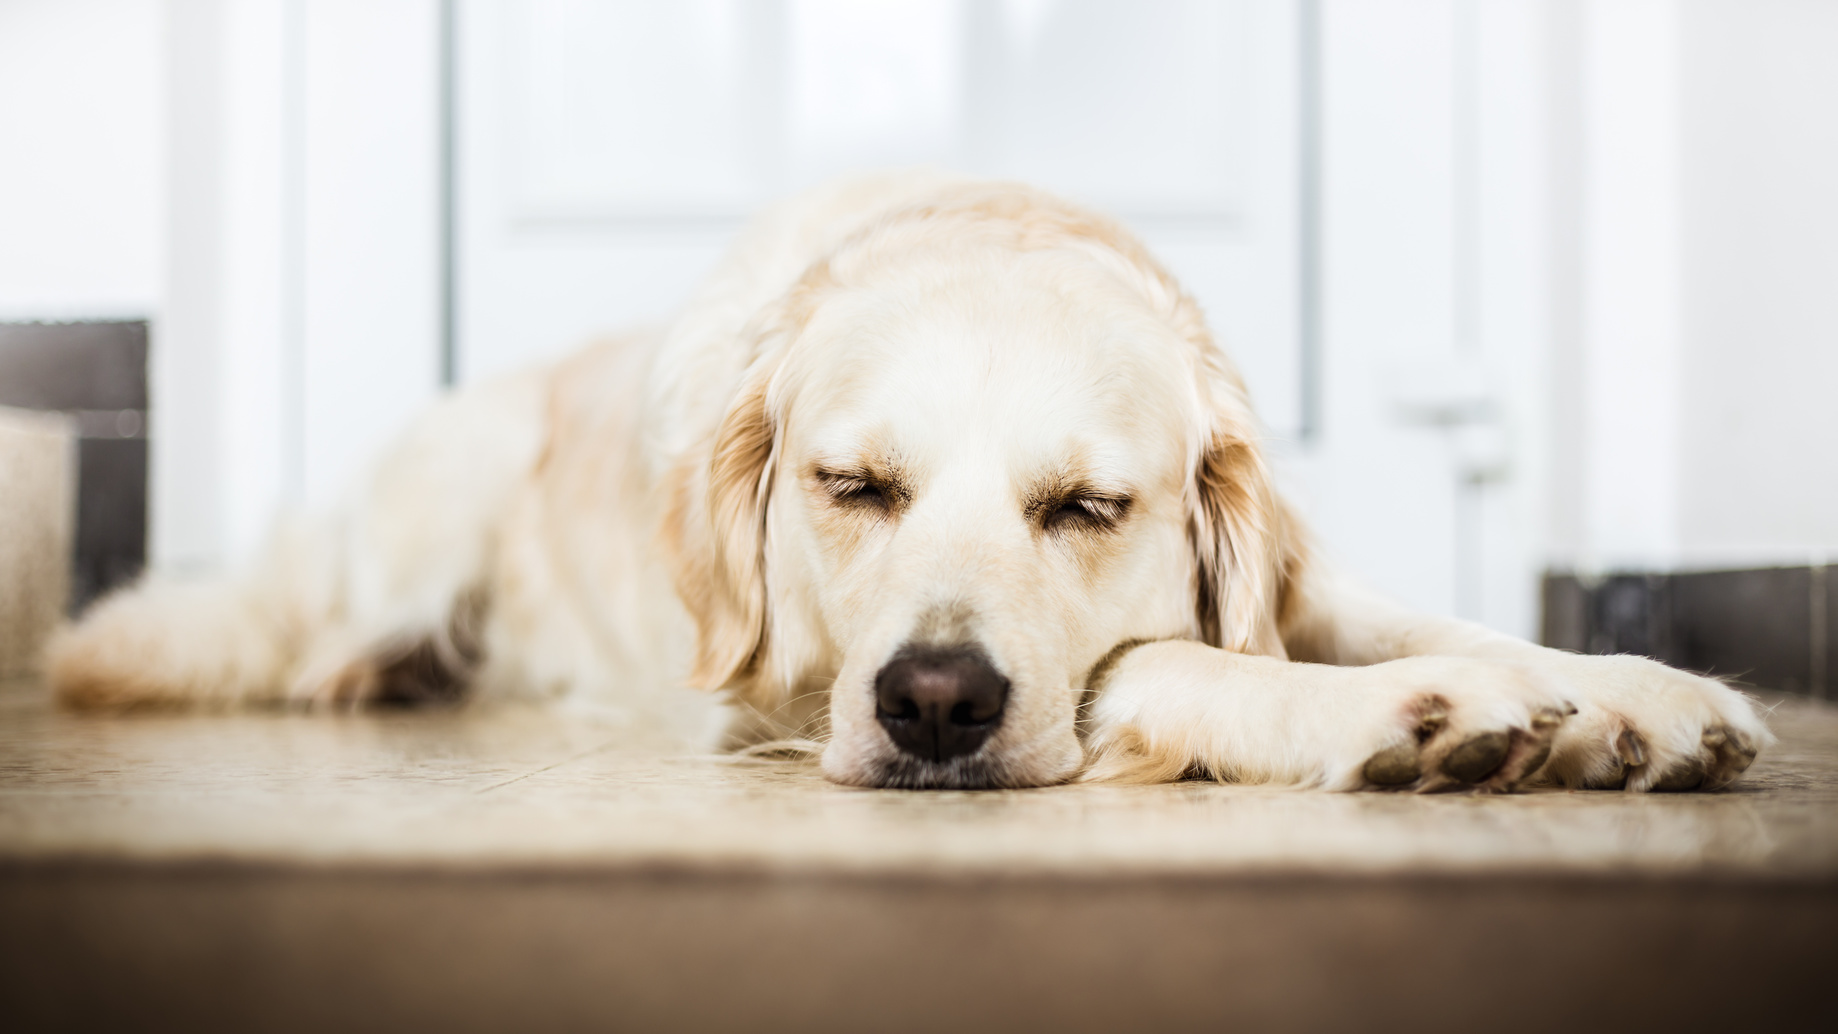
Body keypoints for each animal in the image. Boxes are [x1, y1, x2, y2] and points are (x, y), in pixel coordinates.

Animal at [43, 176, 1764, 793]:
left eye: (1086, 508)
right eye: (853, 484)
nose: (936, 702)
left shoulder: (1292, 575)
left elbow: (1443, 622)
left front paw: (1630, 693)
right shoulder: (782, 690)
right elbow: (1167, 663)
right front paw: (1415, 714)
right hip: (438, 489)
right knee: (316, 631)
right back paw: (380, 670)